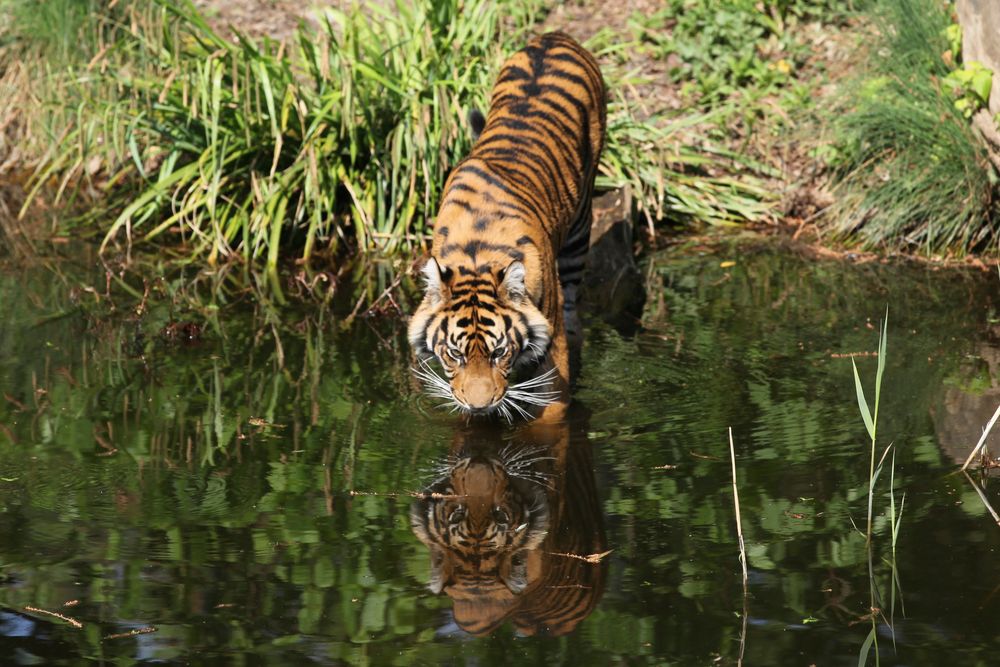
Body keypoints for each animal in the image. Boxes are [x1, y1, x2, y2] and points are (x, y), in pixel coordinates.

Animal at [408, 31, 608, 420]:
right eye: (454, 354)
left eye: (499, 352)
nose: (480, 404)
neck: (476, 251)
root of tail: (556, 36)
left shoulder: (552, 344)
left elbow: (552, 407)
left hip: (579, 227)